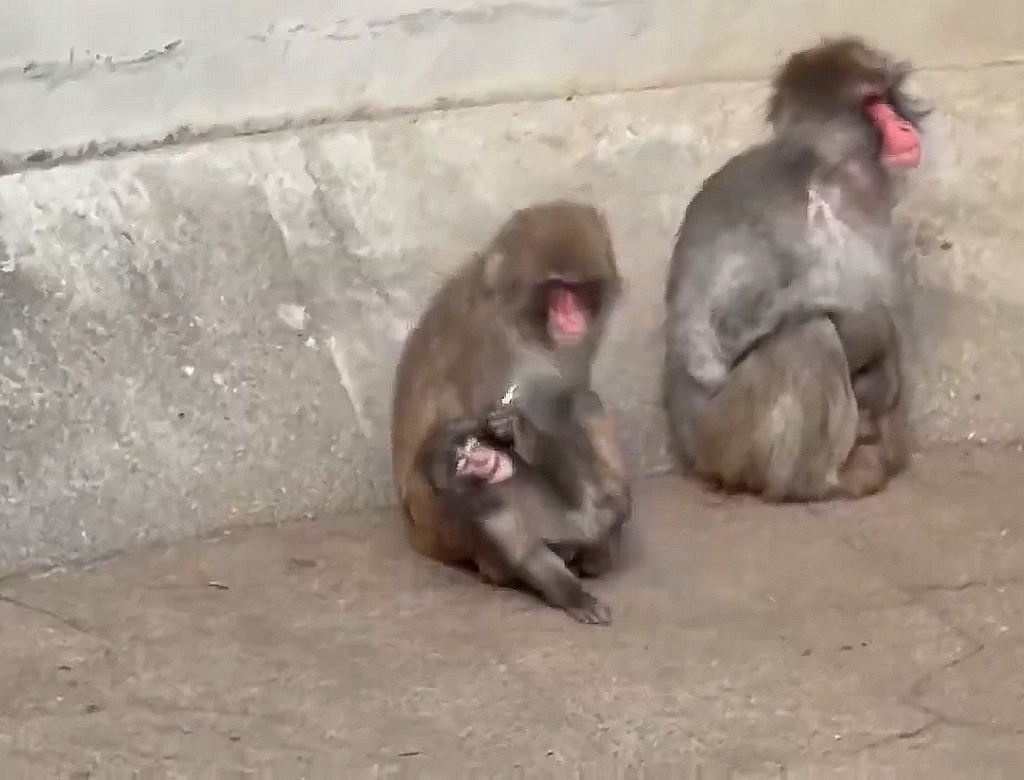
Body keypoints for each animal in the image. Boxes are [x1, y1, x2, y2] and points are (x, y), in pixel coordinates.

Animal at [391, 201, 632, 624]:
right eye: (556, 288)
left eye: (577, 288)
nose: (571, 318)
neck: (522, 324)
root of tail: (414, 534)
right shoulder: (488, 342)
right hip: (440, 526)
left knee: (579, 400)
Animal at [662, 37, 927, 502]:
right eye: (873, 103)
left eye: (889, 98)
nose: (903, 126)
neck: (825, 167)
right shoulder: (785, 203)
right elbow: (718, 335)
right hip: (728, 438)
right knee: (807, 334)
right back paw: (817, 484)